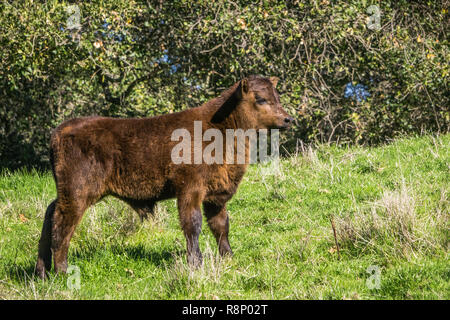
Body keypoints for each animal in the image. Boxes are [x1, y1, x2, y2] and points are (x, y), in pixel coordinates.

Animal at [36, 75, 296, 278]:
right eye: (260, 98)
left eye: (277, 96)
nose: (288, 119)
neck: (221, 127)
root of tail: (61, 129)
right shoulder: (190, 190)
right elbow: (193, 225)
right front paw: (196, 264)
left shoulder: (215, 196)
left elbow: (221, 226)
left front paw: (228, 257)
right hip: (77, 194)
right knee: (61, 225)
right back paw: (61, 272)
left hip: (67, 193)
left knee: (50, 214)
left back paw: (42, 272)